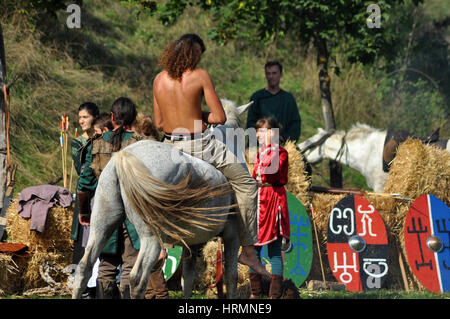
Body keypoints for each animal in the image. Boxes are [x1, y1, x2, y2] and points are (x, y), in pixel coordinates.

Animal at [71, 99, 251, 298]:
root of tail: (124, 158)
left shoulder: (192, 241)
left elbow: (187, 279)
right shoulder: (232, 235)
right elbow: (231, 277)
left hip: (101, 223)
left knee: (84, 268)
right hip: (152, 237)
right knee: (137, 278)